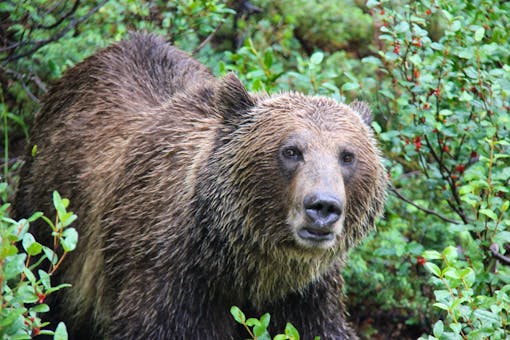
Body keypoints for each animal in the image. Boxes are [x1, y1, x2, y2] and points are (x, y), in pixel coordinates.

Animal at [13, 32, 388, 340]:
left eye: (348, 156)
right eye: (291, 150)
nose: (323, 207)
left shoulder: (307, 295)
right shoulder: (171, 278)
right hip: (48, 218)